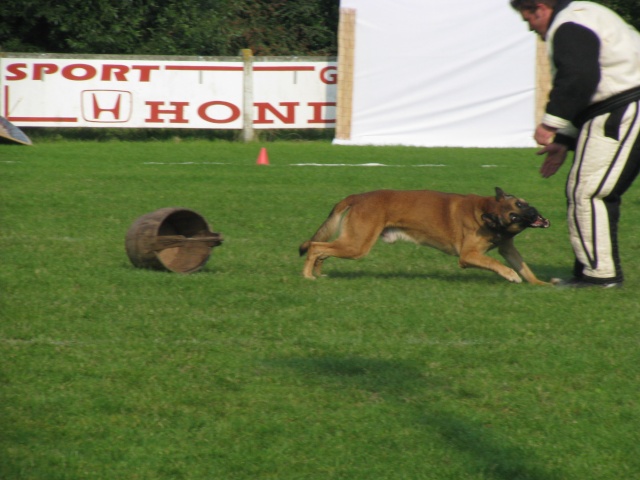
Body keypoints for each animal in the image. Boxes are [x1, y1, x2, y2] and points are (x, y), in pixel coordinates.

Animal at [300, 188, 552, 284]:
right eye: (514, 216)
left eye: (521, 204)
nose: (534, 214)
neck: (486, 210)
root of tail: (358, 196)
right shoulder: (468, 256)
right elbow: (497, 264)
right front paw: (510, 275)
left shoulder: (508, 248)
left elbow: (524, 268)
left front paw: (540, 284)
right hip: (357, 245)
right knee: (315, 247)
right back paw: (308, 275)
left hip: (352, 243)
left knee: (322, 250)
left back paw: (318, 273)